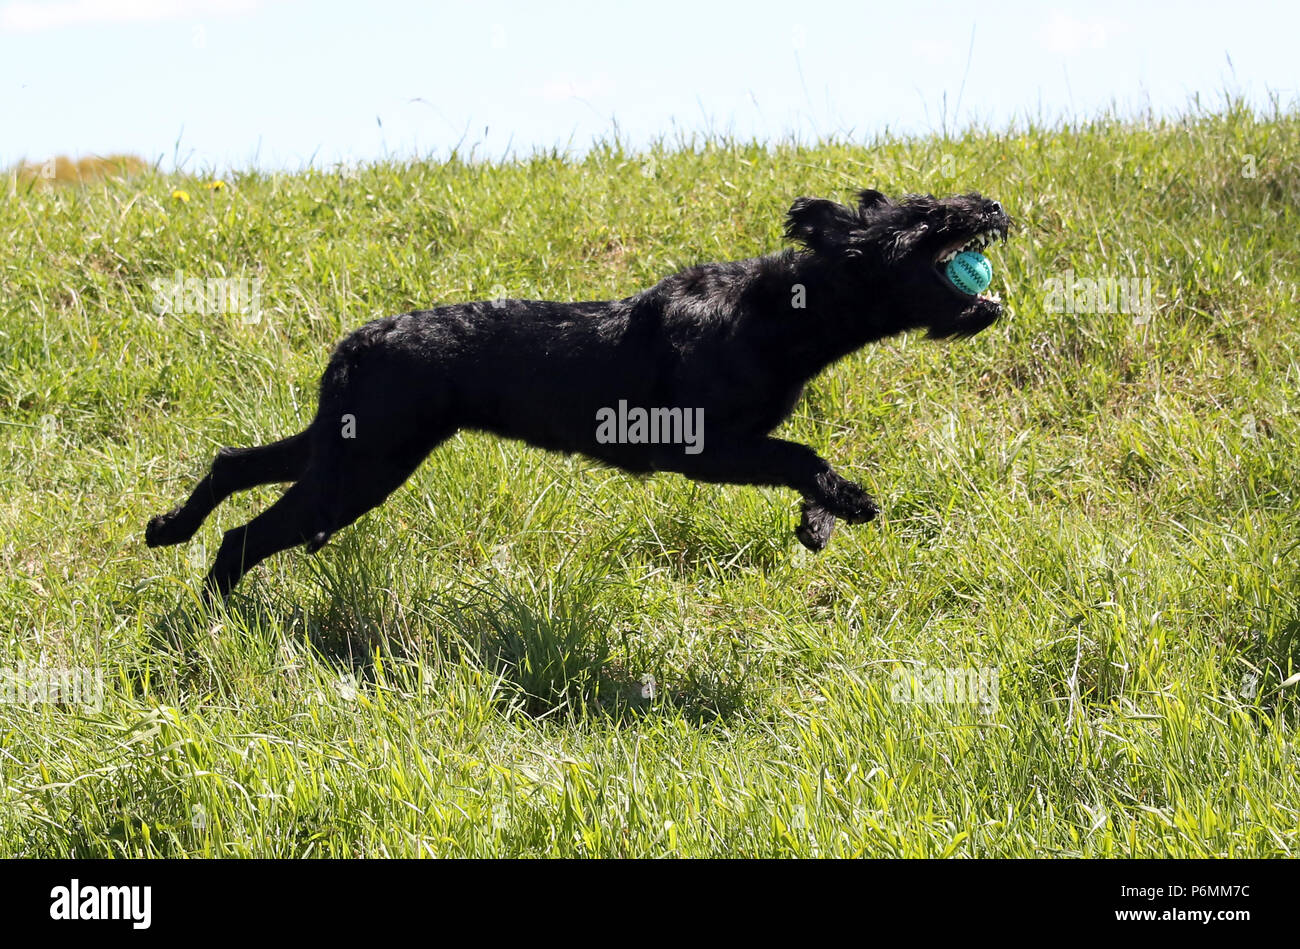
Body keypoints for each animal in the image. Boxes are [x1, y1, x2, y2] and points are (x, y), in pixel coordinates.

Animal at [147, 187, 1008, 595]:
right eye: (929, 216)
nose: (994, 205)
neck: (786, 309)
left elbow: (802, 457)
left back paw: (167, 531)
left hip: (347, 445)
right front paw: (848, 501)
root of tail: (360, 340)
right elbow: (802, 452)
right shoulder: (704, 447)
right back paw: (218, 619)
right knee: (244, 535)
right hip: (360, 471)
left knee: (232, 464)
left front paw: (818, 521)